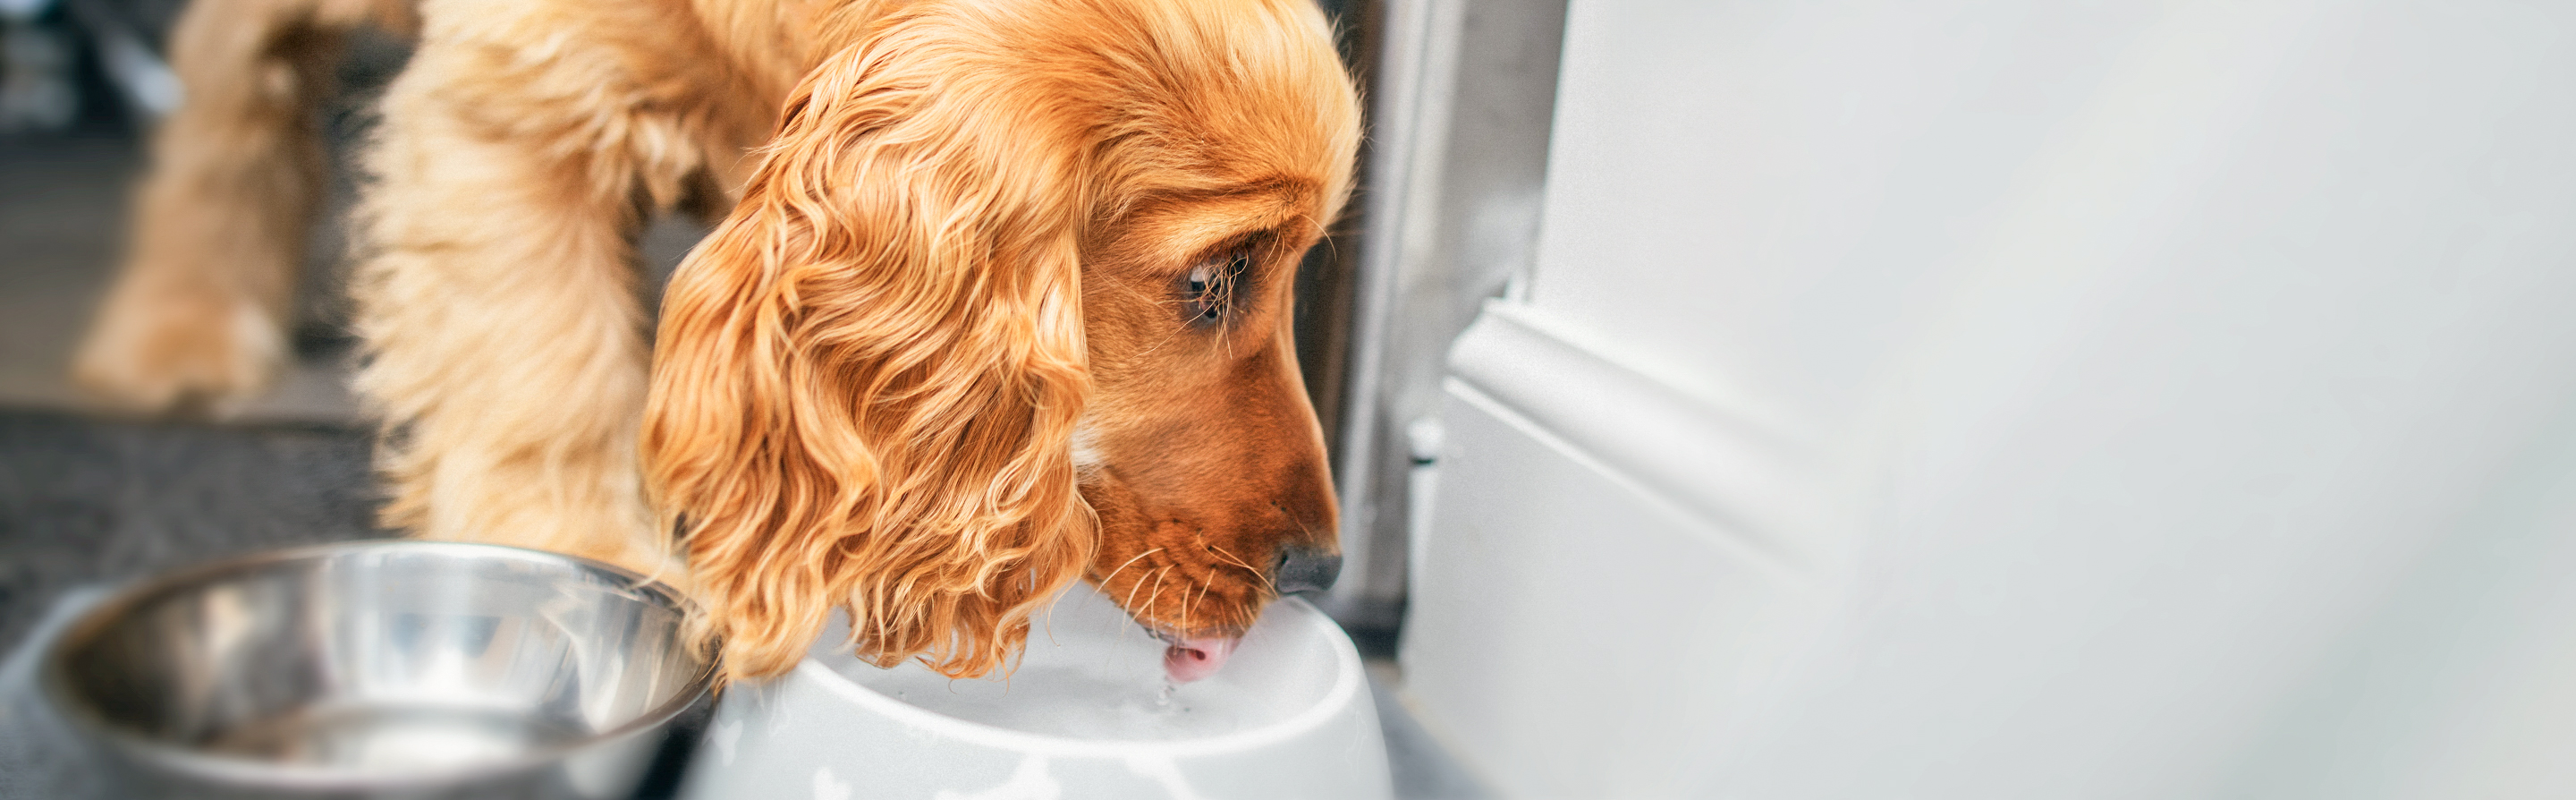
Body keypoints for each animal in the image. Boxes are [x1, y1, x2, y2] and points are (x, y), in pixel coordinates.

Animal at [70, 1, 1360, 686]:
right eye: (1210, 281)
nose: (1322, 567)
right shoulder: (511, 114)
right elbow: (541, 373)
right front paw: (571, 566)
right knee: (228, 108)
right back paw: (178, 329)